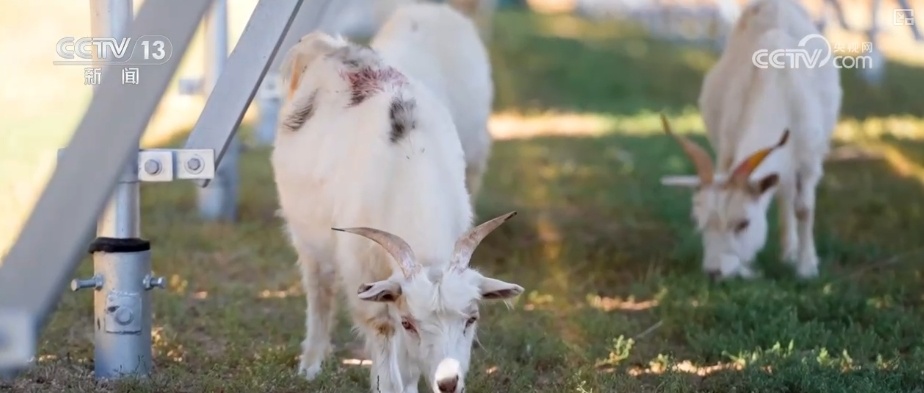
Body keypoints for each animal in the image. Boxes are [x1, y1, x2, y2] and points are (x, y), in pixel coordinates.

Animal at [270, 31, 524, 392]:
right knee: (320, 291)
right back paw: (311, 364)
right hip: (307, 236)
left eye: (472, 318)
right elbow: (382, 334)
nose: (448, 382)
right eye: (409, 323)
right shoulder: (363, 275)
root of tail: (328, 46)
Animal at [660, 0, 840, 278]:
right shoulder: (728, 146)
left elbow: (804, 209)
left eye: (743, 223)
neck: (778, 87)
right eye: (698, 221)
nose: (714, 272)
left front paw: (806, 268)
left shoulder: (809, 160)